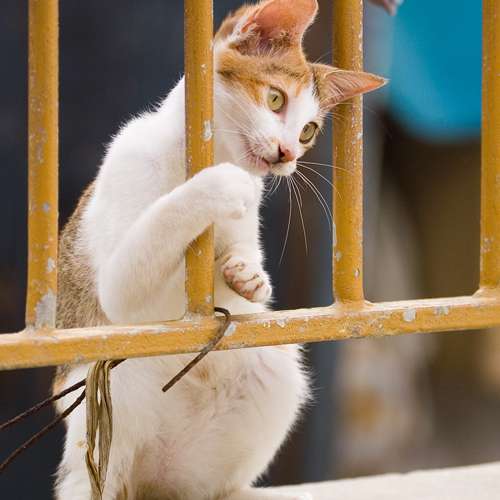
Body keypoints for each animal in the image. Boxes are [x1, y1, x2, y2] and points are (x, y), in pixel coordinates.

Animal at [53, 1, 385, 498]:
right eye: (275, 100)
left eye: (308, 131)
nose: (288, 154)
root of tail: (157, 483)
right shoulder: (121, 270)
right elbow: (156, 237)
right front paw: (217, 186)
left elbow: (239, 278)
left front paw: (246, 274)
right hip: (110, 393)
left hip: (270, 364)